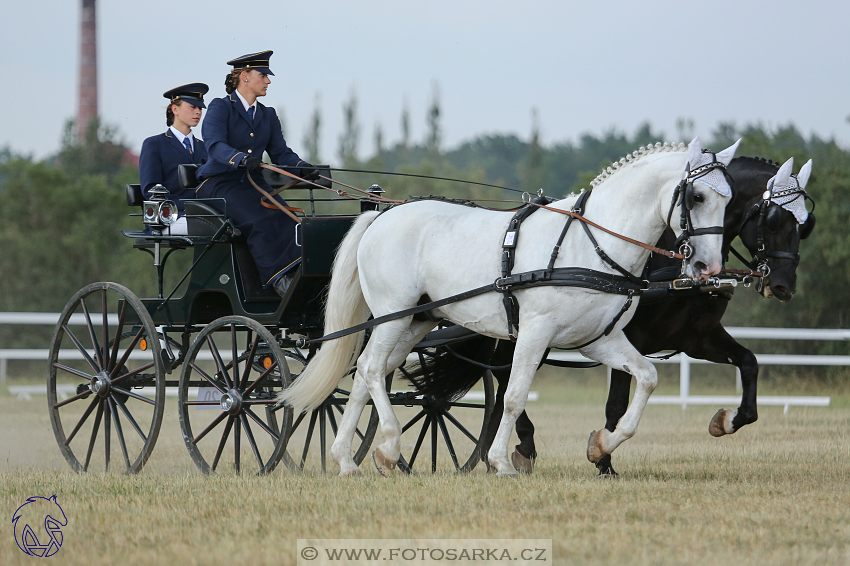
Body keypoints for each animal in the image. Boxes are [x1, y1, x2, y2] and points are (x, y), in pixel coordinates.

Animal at [282, 136, 740, 474]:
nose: (709, 267)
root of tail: (381, 216)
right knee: (373, 369)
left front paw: (601, 445)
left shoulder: (599, 340)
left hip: (414, 322)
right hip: (391, 316)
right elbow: (515, 395)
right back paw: (389, 446)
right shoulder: (536, 332)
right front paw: (503, 461)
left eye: (729, 200)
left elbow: (646, 377)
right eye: (697, 197)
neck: (590, 246)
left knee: (364, 372)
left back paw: (347, 458)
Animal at [404, 154, 816, 474]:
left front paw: (727, 420)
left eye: (805, 225)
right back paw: (518, 448)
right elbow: (616, 403)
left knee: (503, 381)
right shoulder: (628, 335)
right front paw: (603, 459)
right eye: (774, 220)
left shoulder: (696, 337)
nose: (784, 286)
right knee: (506, 383)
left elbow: (748, 363)